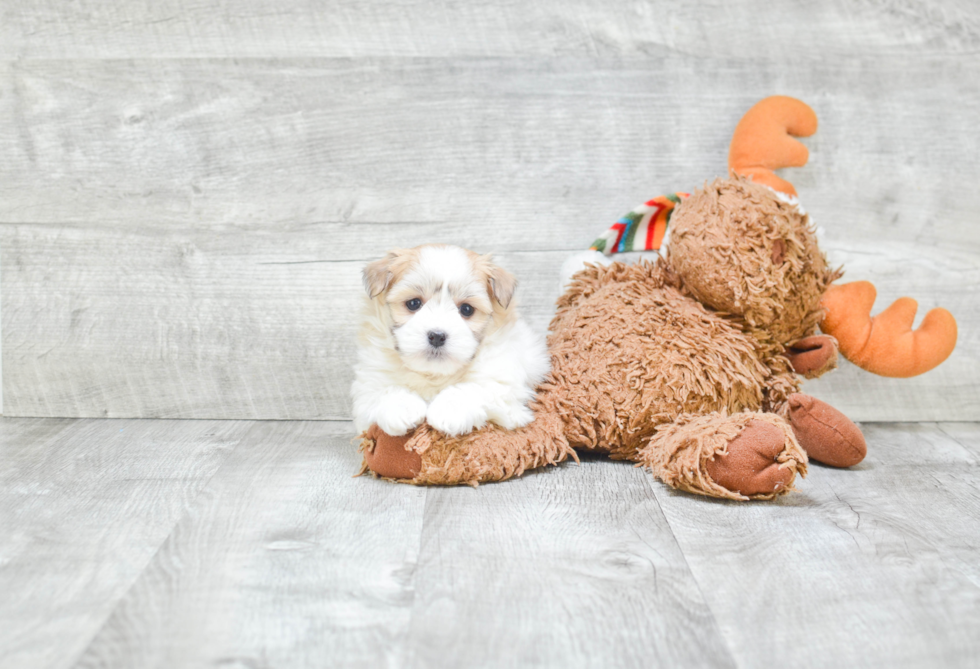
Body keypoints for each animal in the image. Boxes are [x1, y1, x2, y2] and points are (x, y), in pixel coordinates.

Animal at [352, 245, 552, 438]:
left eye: (466, 309)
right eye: (413, 303)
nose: (437, 336)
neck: (434, 375)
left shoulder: (505, 387)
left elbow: (475, 388)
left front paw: (449, 410)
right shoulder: (368, 386)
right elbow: (383, 390)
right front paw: (402, 407)